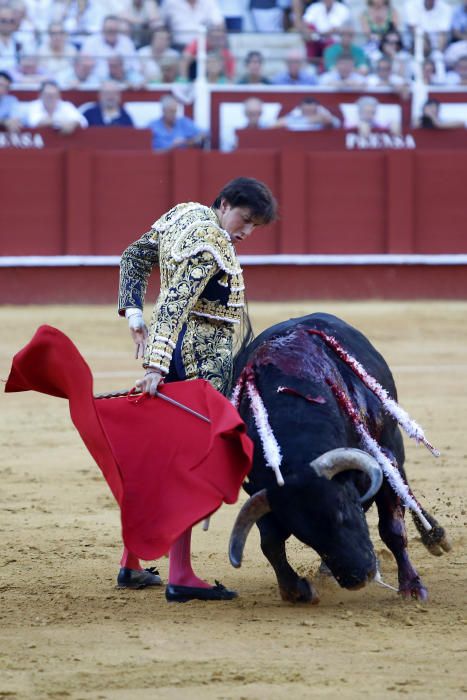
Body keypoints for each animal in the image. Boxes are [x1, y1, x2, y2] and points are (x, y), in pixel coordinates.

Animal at [229, 312, 452, 600]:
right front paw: (296, 590)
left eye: (344, 513)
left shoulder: (382, 461)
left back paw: (435, 536)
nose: (357, 578)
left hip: (392, 444)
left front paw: (412, 587)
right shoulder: (261, 489)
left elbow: (392, 529)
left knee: (405, 491)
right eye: (304, 535)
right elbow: (270, 541)